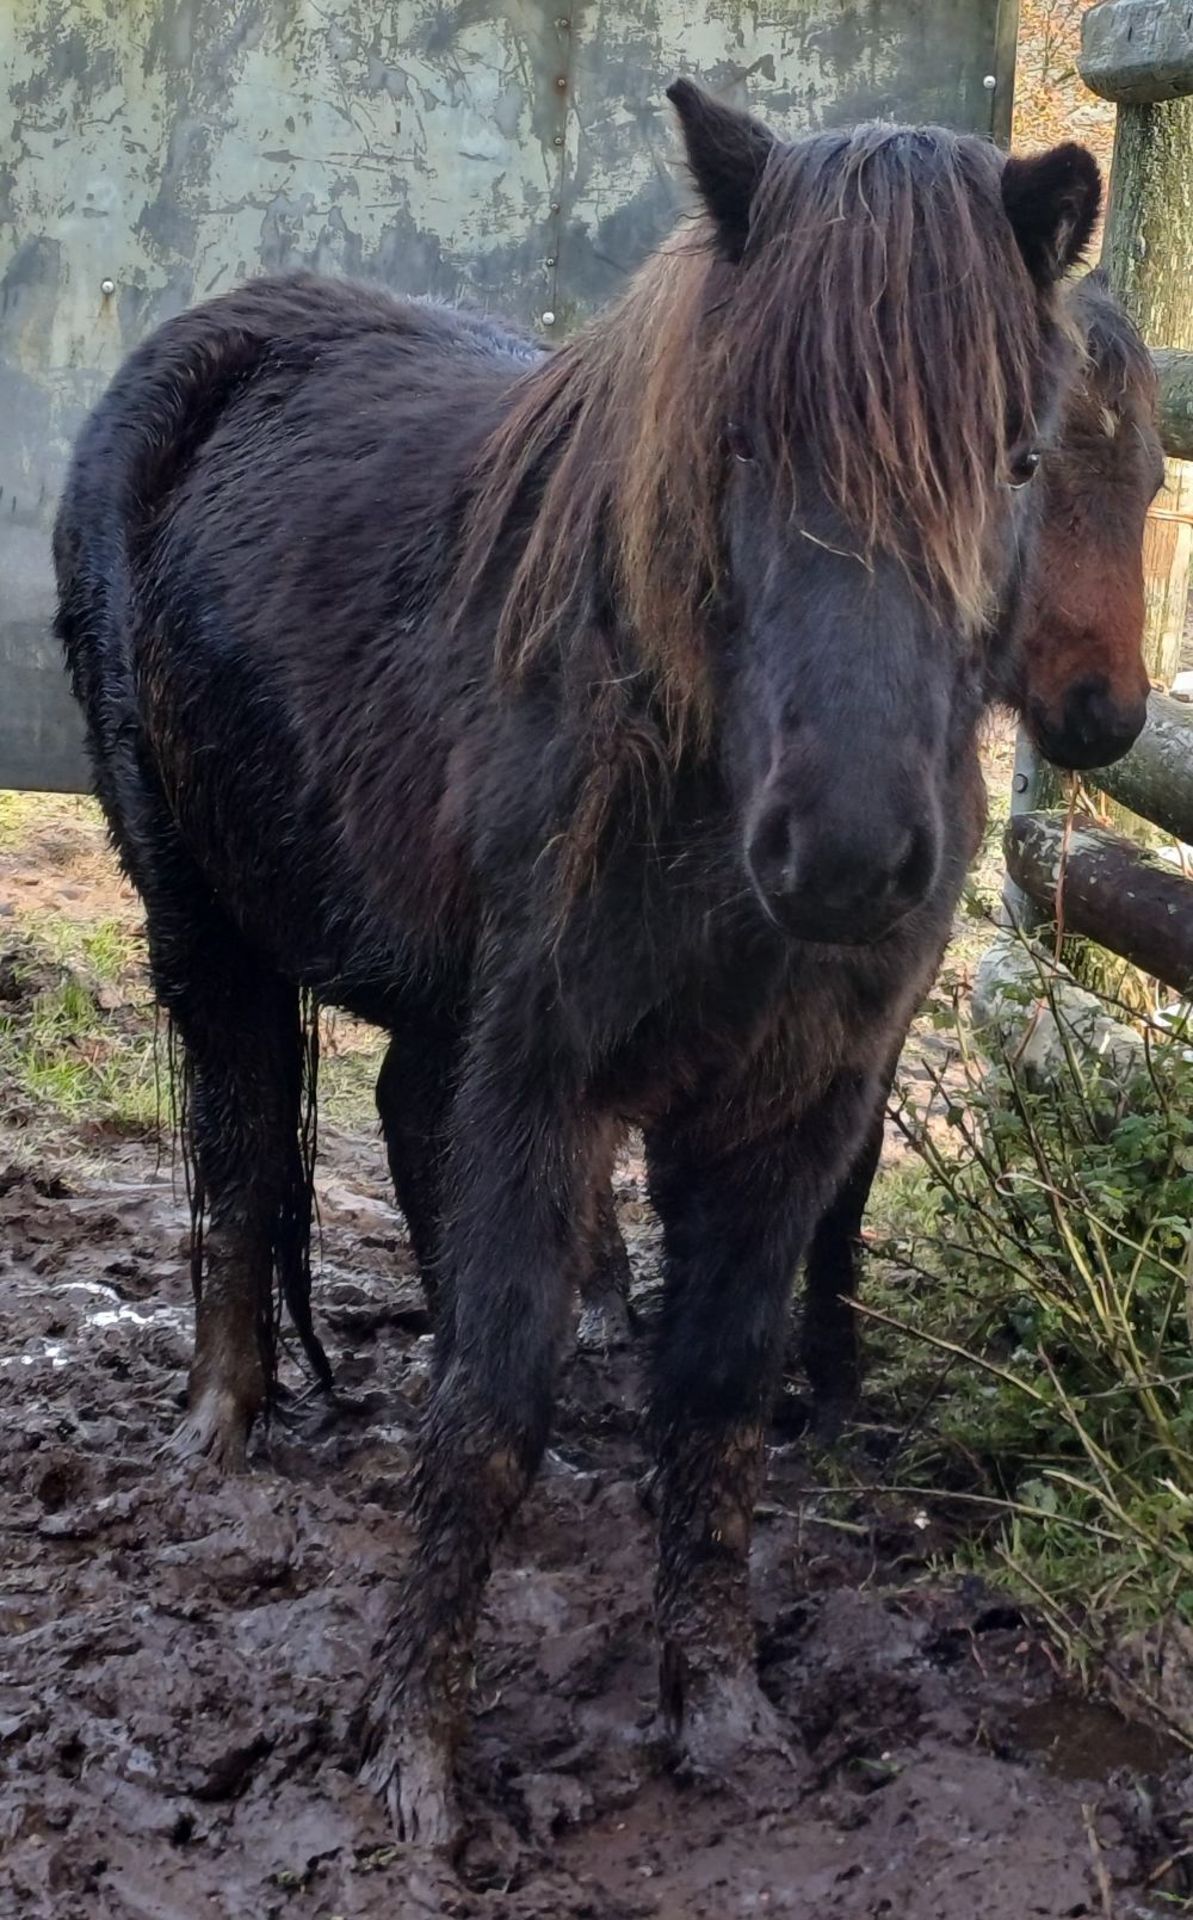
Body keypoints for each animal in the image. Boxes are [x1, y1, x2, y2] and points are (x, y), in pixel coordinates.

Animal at [55, 90, 1098, 1843]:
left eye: (1018, 458)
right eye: (737, 442)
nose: (844, 853)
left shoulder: (788, 1115)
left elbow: (720, 1394)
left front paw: (723, 1713)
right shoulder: (542, 1073)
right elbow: (492, 1398)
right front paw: (415, 1763)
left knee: (391, 1125)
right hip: (204, 925)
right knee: (242, 1144)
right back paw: (222, 1425)